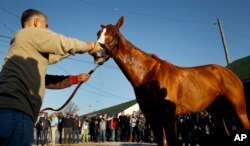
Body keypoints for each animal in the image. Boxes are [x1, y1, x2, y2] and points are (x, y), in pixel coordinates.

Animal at [92, 15, 250, 145]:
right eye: (98, 34)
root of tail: (229, 73)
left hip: (239, 110)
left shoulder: (168, 115)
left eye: (114, 34)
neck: (147, 75)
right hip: (217, 113)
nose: (96, 53)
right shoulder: (152, 116)